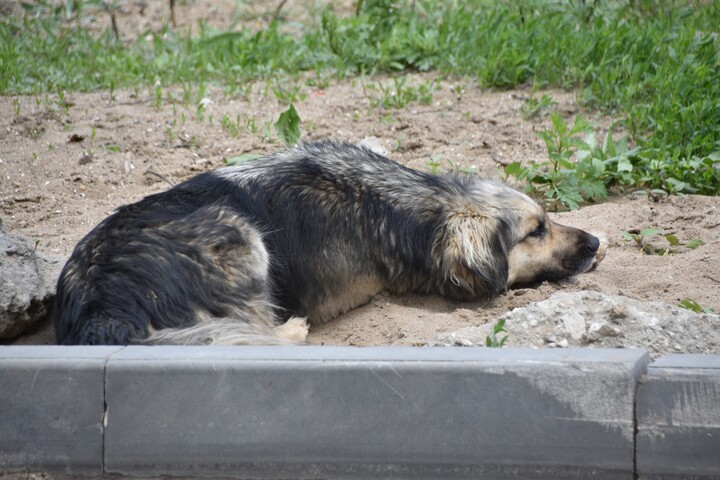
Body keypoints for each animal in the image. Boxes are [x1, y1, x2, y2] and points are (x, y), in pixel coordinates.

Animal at [50, 139, 604, 344]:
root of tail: (103, 303)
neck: (387, 203)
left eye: (548, 219)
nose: (598, 242)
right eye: (535, 231)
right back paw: (292, 330)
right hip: (239, 233)